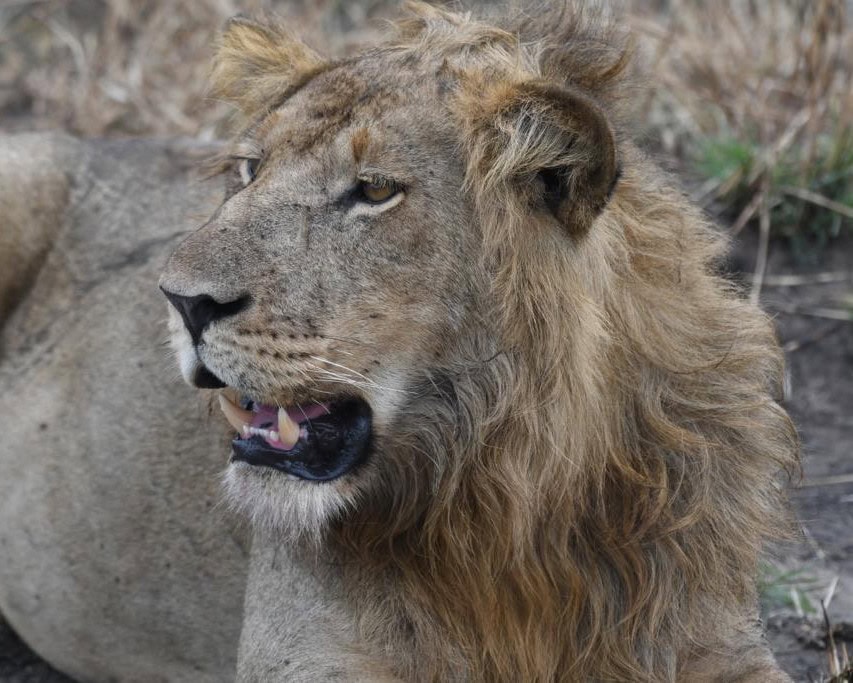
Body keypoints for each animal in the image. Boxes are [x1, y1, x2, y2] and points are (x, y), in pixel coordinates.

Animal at [160, 3, 799, 681]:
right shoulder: (301, 650)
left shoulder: (718, 637)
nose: (181, 300)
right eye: (251, 170)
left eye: (375, 190)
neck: (513, 496)